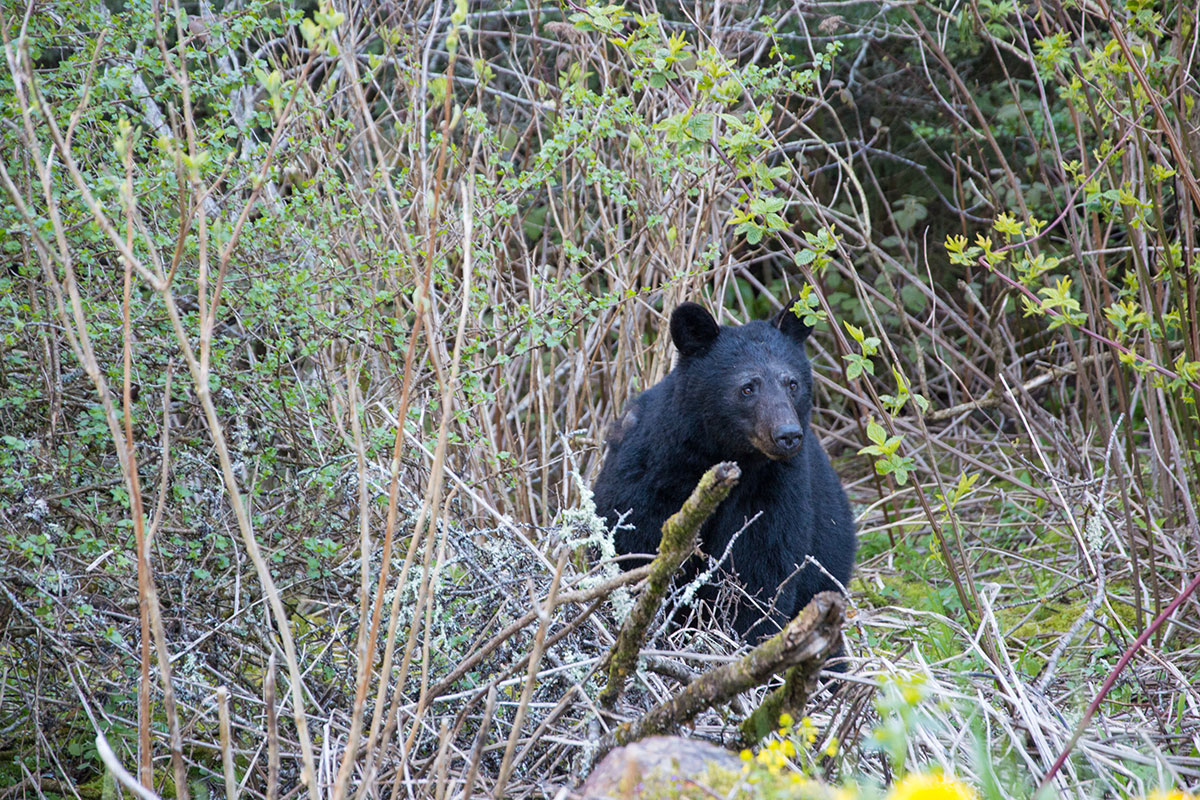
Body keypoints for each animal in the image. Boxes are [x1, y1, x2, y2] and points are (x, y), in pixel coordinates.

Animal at [590, 297, 854, 642]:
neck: (728, 455)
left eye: (792, 383)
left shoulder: (776, 489)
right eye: (747, 387)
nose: (787, 435)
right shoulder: (653, 470)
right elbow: (632, 540)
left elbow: (759, 569)